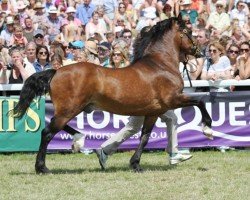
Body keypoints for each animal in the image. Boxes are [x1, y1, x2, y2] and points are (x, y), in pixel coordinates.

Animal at [11, 16, 213, 173]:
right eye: (188, 31)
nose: (199, 51)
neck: (160, 64)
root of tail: (56, 71)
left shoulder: (154, 111)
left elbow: (145, 137)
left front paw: (136, 164)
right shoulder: (173, 100)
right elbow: (200, 101)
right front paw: (208, 129)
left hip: (73, 109)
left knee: (54, 127)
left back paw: (79, 141)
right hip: (70, 109)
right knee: (47, 132)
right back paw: (43, 167)